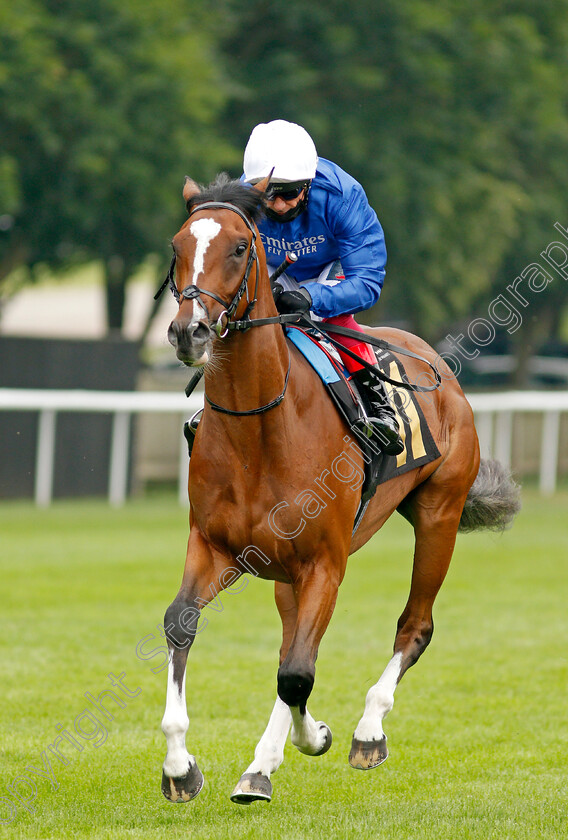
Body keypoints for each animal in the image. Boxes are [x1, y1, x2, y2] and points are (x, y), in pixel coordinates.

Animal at [158, 169, 516, 800]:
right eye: (178, 247)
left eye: (241, 247)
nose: (189, 331)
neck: (259, 430)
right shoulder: (215, 546)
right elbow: (186, 625)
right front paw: (180, 765)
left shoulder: (325, 560)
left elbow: (297, 672)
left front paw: (289, 750)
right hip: (284, 570)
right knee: (293, 643)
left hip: (439, 516)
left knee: (412, 627)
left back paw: (366, 730)